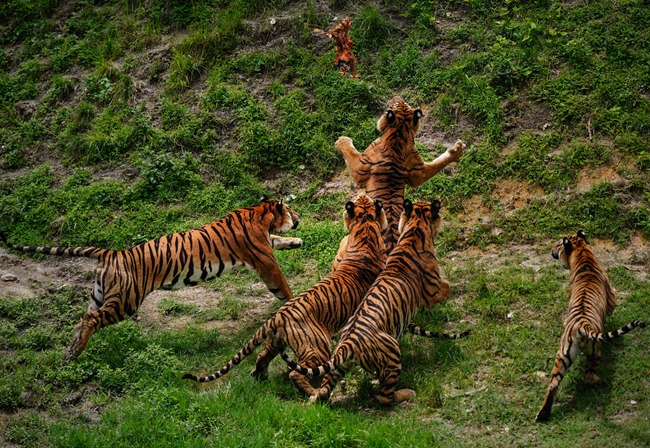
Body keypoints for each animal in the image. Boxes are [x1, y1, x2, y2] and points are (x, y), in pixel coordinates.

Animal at [0, 197, 302, 360]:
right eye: (290, 210)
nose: (298, 218)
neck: (258, 213)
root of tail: (110, 253)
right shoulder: (264, 259)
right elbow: (281, 284)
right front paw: (291, 300)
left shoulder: (266, 244)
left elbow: (279, 240)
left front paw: (296, 241)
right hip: (125, 301)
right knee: (92, 319)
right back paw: (77, 351)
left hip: (99, 295)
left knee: (81, 318)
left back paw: (71, 351)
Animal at [183, 195, 388, 396]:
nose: (362, 195)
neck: (365, 225)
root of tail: (277, 317)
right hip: (316, 346)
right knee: (296, 374)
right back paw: (315, 394)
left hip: (275, 342)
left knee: (262, 357)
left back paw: (260, 376)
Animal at [282, 199, 469, 405]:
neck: (416, 227)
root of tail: (348, 343)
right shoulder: (433, 288)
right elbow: (447, 288)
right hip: (392, 354)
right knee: (385, 397)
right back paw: (405, 393)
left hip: (339, 365)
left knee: (325, 387)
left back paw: (317, 396)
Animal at [336, 96, 465, 255]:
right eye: (403, 103)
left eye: (395, 104)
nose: (396, 97)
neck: (400, 129)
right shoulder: (418, 172)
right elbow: (437, 163)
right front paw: (457, 150)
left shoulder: (360, 167)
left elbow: (349, 150)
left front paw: (341, 140)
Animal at [535, 230, 646, 422]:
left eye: (558, 245)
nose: (551, 251)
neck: (582, 251)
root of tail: (581, 325)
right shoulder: (612, 296)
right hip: (595, 350)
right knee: (588, 375)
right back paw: (595, 380)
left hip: (562, 355)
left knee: (553, 383)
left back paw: (542, 414)